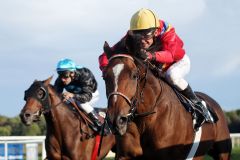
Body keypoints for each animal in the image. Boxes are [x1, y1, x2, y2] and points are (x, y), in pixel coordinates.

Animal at [103, 42, 232, 159]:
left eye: (134, 75)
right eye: (104, 76)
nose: (115, 120)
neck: (146, 119)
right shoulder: (124, 155)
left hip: (223, 152)